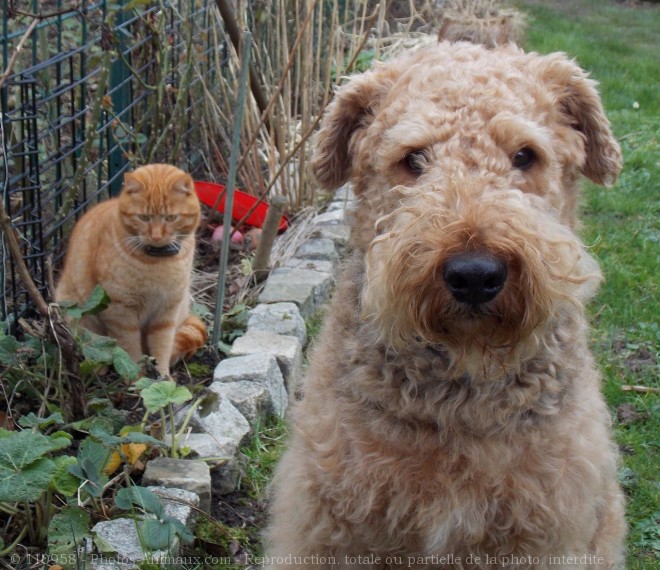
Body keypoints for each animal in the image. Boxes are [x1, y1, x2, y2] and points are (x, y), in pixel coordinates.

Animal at [55, 163, 208, 378]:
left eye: (170, 217)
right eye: (143, 217)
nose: (157, 236)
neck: (158, 263)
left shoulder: (168, 310)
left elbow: (162, 345)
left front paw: (163, 376)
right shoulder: (120, 311)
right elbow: (129, 349)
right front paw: (136, 378)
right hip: (76, 313)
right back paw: (99, 367)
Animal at [266, 41, 628, 568]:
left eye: (525, 155)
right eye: (413, 158)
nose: (475, 275)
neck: (459, 399)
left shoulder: (546, 528)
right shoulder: (329, 521)